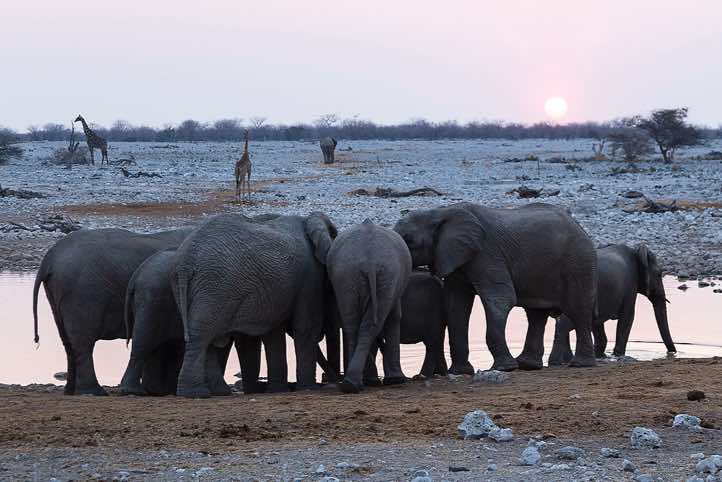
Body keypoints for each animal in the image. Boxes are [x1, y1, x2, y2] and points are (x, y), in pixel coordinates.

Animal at [32, 227, 191, 395]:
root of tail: (48, 260)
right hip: (81, 294)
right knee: (83, 342)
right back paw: (94, 391)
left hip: (59, 293)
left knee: (67, 342)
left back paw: (70, 391)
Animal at [171, 212, 337, 398]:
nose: (334, 381)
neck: (307, 220)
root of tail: (185, 263)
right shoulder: (309, 275)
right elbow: (307, 327)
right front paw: (308, 388)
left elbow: (274, 333)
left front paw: (277, 390)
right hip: (214, 284)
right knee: (202, 335)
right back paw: (197, 393)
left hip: (193, 287)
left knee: (205, 338)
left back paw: (217, 391)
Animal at [326, 219, 412, 393]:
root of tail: (369, 259)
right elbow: (395, 316)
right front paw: (395, 380)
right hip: (385, 275)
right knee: (370, 325)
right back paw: (361, 382)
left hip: (347, 276)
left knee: (352, 324)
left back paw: (351, 384)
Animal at [393, 202, 598, 373]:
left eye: (409, 240)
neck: (441, 211)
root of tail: (580, 227)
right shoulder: (455, 258)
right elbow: (456, 305)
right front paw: (460, 372)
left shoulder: (487, 253)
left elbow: (500, 299)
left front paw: (504, 368)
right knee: (536, 314)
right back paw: (528, 365)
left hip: (578, 263)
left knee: (578, 311)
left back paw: (580, 364)